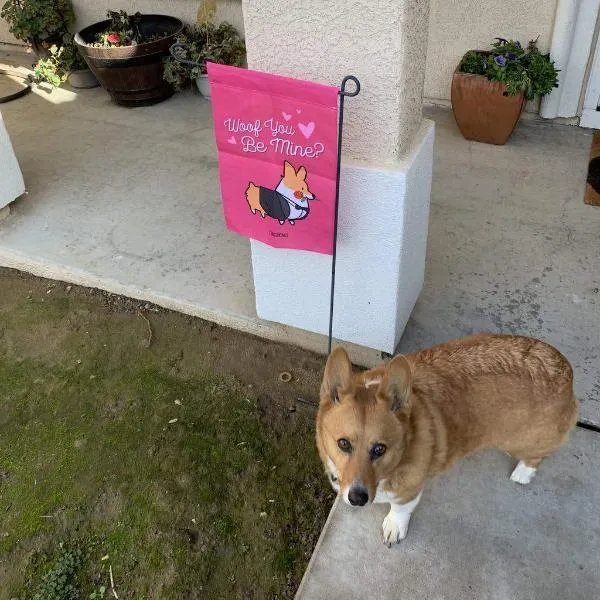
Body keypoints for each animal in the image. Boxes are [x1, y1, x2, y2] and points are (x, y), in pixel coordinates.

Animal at [316, 336, 580, 548]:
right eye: (343, 444)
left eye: (380, 448)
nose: (357, 499)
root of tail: (565, 370)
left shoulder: (410, 490)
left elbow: (400, 509)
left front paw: (394, 527)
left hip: (522, 441)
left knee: (537, 456)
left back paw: (522, 474)